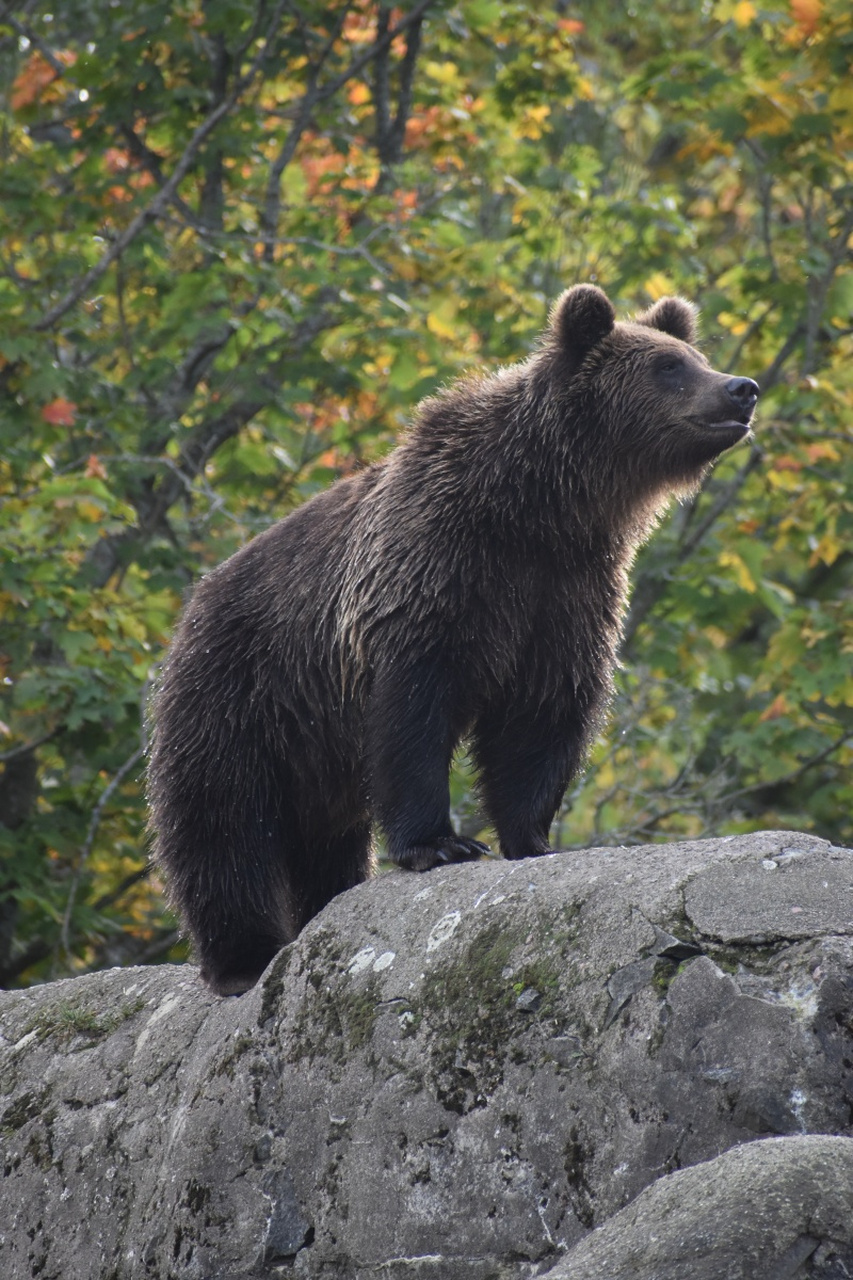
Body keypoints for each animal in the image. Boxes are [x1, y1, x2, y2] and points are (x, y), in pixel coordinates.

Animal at [146, 285, 758, 993]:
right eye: (669, 367)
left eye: (695, 357)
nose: (742, 388)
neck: (543, 507)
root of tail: (196, 599)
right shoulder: (437, 572)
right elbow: (418, 707)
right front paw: (441, 843)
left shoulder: (567, 596)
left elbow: (541, 716)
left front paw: (534, 839)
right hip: (241, 687)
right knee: (221, 821)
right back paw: (243, 958)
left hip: (311, 748)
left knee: (322, 839)